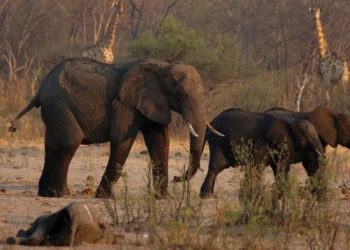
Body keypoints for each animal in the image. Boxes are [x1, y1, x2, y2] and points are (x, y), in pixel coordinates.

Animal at [9, 57, 223, 198]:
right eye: (180, 92)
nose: (178, 178)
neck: (163, 66)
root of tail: (41, 88)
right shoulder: (125, 104)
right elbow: (122, 141)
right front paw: (103, 197)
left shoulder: (153, 101)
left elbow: (160, 142)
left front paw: (163, 198)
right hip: (58, 104)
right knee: (71, 140)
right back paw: (62, 194)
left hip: (54, 108)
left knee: (52, 144)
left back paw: (46, 194)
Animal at [174, 108, 324, 198]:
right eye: (308, 137)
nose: (174, 178)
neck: (289, 122)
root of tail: (211, 122)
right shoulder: (262, 142)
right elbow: (258, 166)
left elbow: (280, 168)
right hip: (218, 140)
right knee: (216, 166)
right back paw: (206, 196)